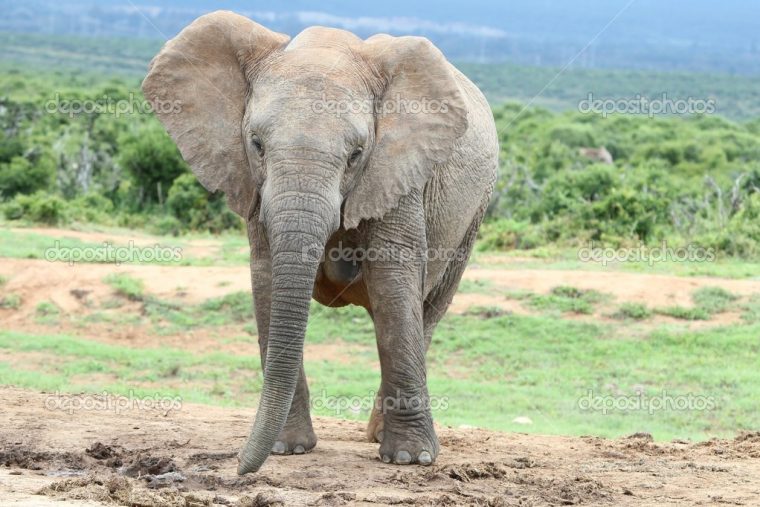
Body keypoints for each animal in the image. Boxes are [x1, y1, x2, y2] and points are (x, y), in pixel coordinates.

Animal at [142, 9, 498, 474]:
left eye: (356, 154)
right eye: (256, 144)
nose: (238, 467)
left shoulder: (398, 170)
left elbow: (393, 280)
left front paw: (409, 459)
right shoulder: (253, 184)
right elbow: (268, 279)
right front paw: (287, 449)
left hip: (474, 214)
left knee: (427, 310)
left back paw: (380, 436)